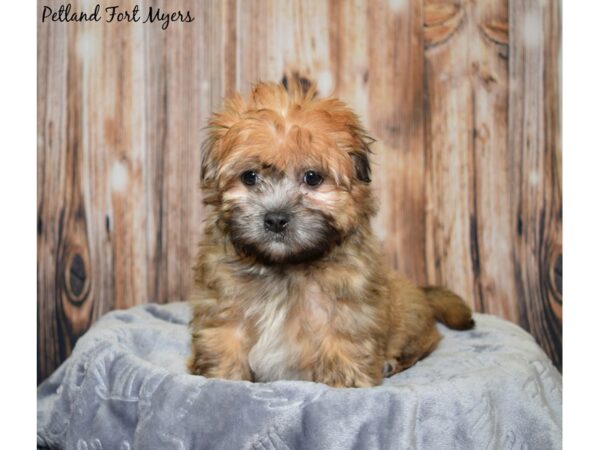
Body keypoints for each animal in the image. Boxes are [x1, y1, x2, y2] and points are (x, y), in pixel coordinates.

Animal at [188, 81, 474, 387]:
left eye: (312, 178)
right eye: (249, 177)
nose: (276, 219)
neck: (284, 267)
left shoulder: (346, 309)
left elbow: (342, 344)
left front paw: (346, 383)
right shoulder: (224, 305)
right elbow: (223, 342)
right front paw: (221, 380)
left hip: (412, 323)